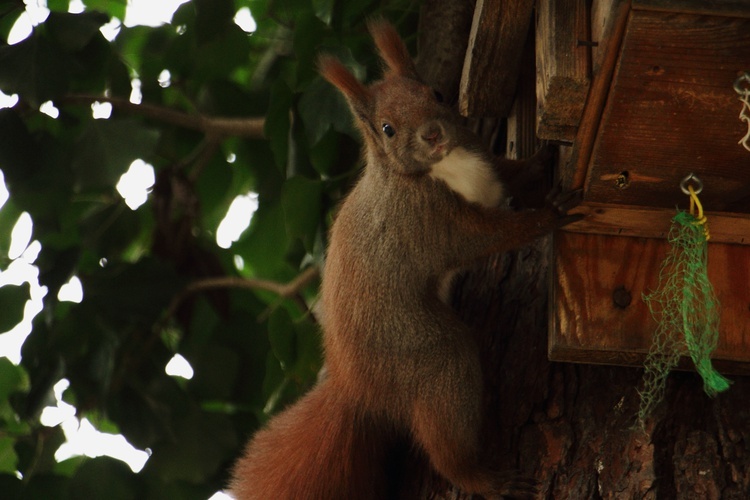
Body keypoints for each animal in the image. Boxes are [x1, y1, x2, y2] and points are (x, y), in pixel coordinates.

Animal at [232, 17, 584, 498]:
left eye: (436, 93)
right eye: (387, 128)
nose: (433, 134)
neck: (435, 169)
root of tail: (356, 388)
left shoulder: (488, 174)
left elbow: (514, 176)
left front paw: (545, 156)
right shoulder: (432, 225)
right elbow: (495, 235)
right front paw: (551, 214)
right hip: (428, 354)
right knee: (445, 432)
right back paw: (482, 477)